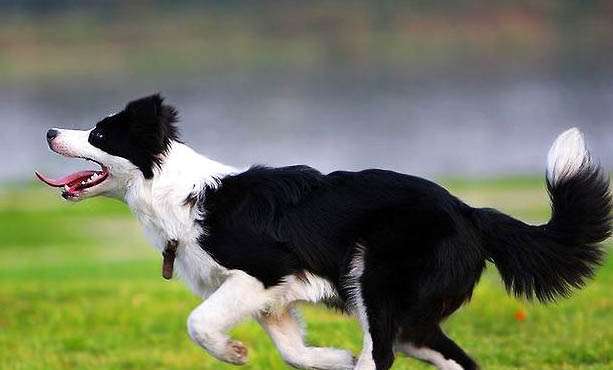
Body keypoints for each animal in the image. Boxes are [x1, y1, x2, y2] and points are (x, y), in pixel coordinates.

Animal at [35, 94, 608, 368]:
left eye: (99, 134)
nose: (49, 131)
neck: (176, 194)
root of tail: (471, 212)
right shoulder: (274, 299)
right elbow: (293, 352)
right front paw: (331, 358)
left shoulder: (263, 271)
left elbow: (199, 323)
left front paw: (233, 353)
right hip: (412, 318)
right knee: (453, 358)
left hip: (375, 286)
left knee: (381, 356)